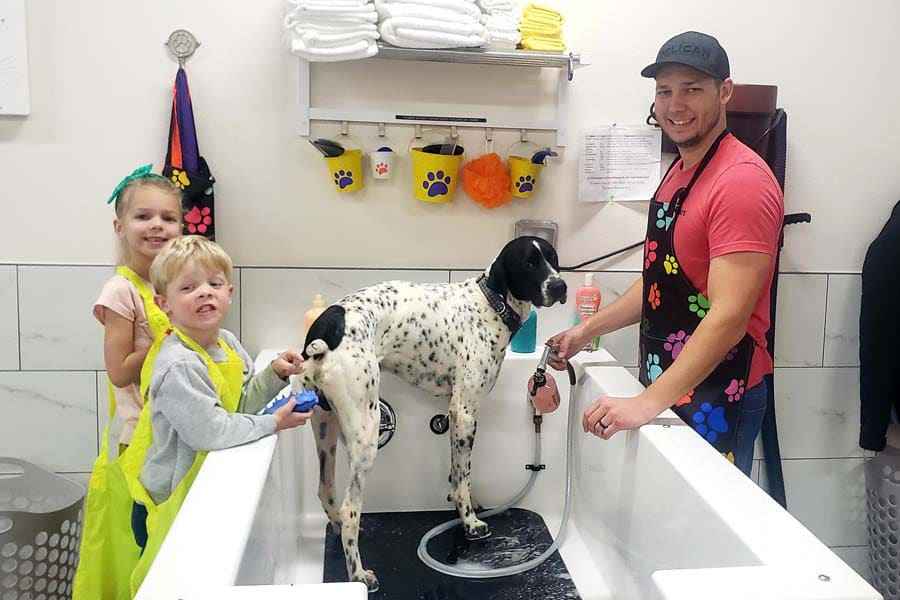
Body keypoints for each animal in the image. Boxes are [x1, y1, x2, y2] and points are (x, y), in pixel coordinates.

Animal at [302, 236, 568, 592]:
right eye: (528, 263)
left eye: (553, 258)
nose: (560, 286)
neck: (489, 305)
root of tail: (326, 327)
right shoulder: (466, 412)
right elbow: (464, 475)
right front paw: (470, 522)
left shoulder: (454, 413)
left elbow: (457, 473)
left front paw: (462, 502)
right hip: (365, 433)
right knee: (350, 510)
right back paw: (358, 574)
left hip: (325, 427)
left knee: (326, 491)